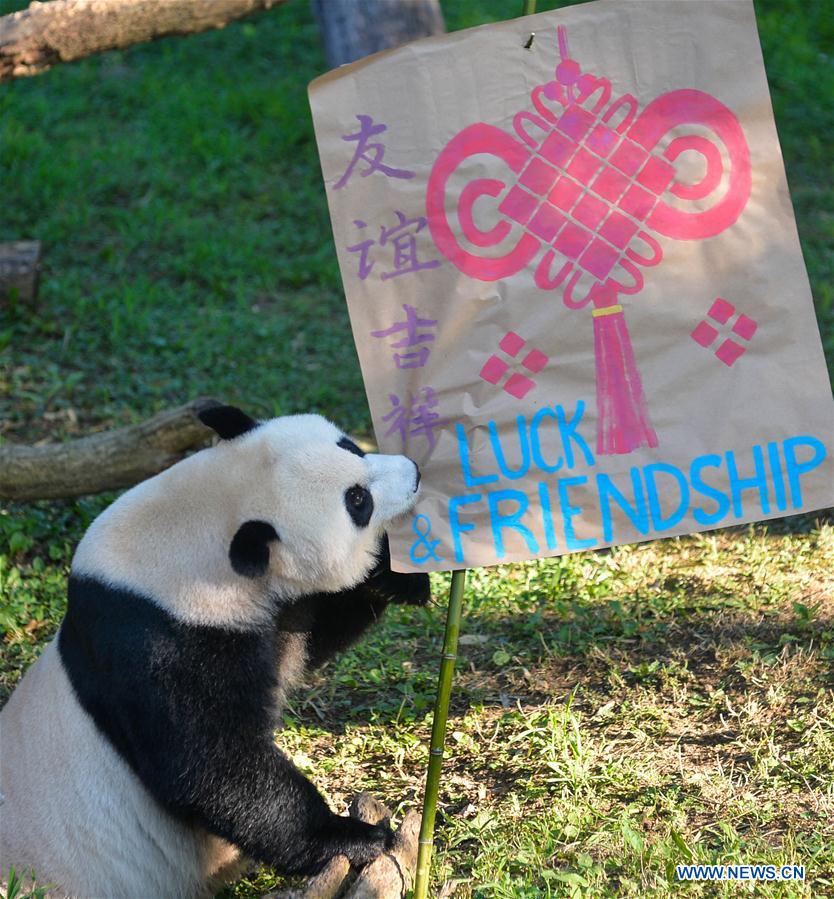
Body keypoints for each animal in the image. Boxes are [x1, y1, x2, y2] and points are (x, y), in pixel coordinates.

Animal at [0, 408, 428, 899]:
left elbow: (308, 638)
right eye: (358, 502)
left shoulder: (259, 607)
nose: (415, 472)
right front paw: (358, 838)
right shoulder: (160, 641)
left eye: (350, 446)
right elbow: (215, 766)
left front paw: (399, 572)